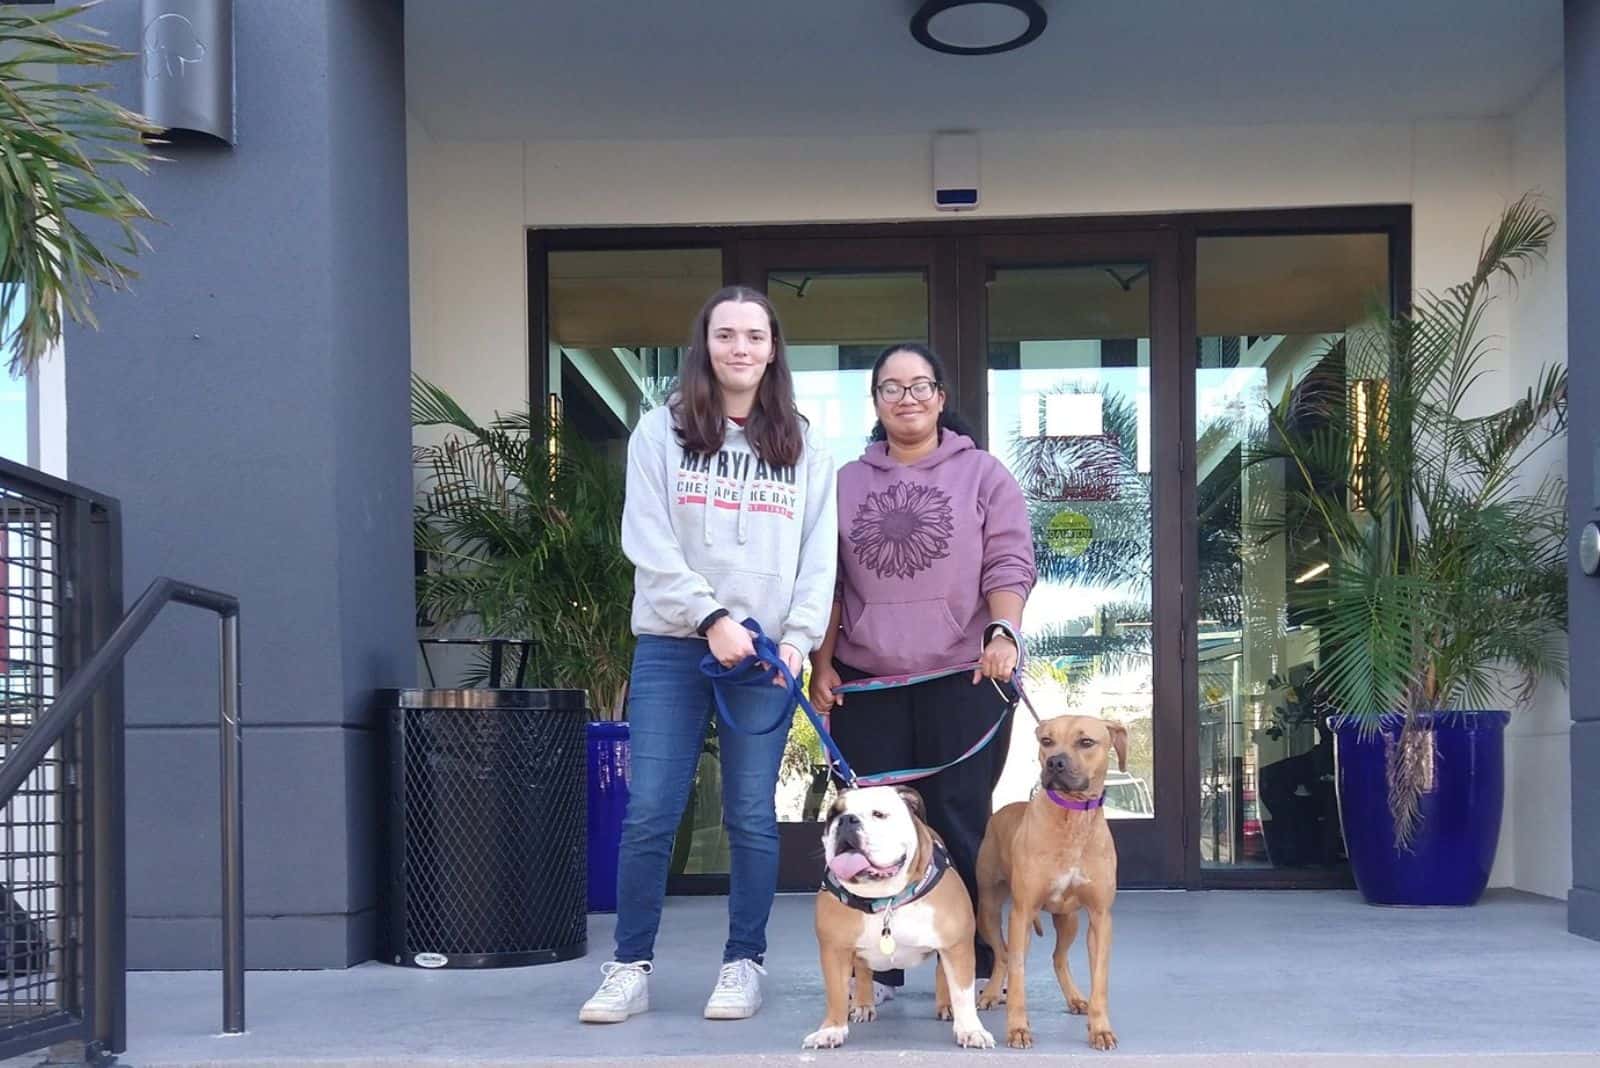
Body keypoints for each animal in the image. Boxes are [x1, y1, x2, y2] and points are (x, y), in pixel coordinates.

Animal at [806, 783, 992, 1048]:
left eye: (879, 814)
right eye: (832, 815)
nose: (847, 820)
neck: (885, 900)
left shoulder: (957, 946)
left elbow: (962, 992)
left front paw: (970, 1030)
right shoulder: (835, 951)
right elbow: (836, 993)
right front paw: (831, 1030)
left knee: (942, 972)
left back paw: (946, 1006)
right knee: (863, 970)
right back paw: (863, 1004)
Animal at [972, 713, 1126, 1048]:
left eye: (1086, 742)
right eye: (1047, 741)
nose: (1055, 762)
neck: (1073, 819)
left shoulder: (1100, 917)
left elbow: (1100, 981)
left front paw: (1100, 1028)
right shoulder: (1021, 914)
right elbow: (1017, 973)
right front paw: (1018, 1028)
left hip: (1069, 919)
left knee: (1059, 957)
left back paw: (1075, 998)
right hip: (988, 910)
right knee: (1003, 955)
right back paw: (991, 992)